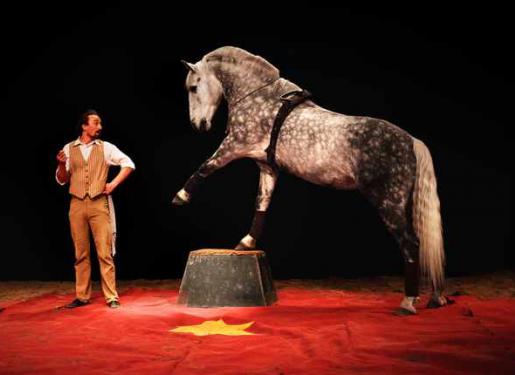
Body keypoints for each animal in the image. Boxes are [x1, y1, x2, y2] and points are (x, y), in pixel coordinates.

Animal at [173, 47, 452, 318]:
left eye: (193, 87)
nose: (198, 125)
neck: (263, 100)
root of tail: (411, 141)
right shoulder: (267, 168)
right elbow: (261, 203)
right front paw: (246, 243)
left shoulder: (234, 146)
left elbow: (206, 166)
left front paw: (181, 197)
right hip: (404, 204)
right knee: (424, 242)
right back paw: (436, 298)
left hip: (388, 202)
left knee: (411, 244)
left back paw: (408, 302)